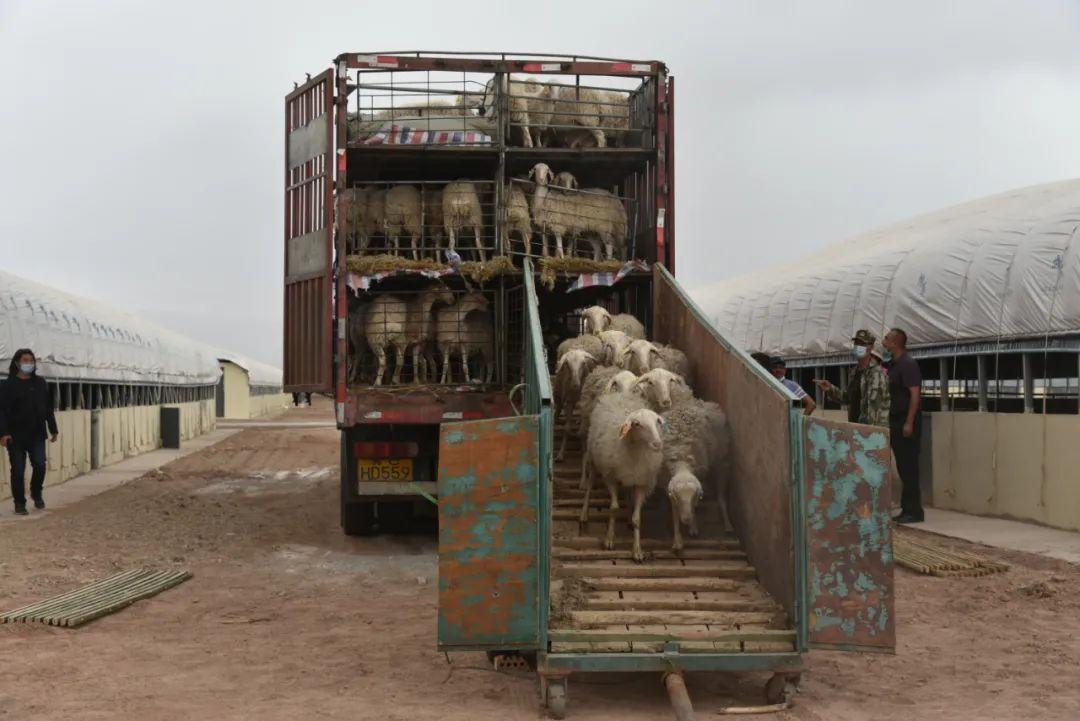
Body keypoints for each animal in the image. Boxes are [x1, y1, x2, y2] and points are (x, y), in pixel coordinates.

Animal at [583, 390, 665, 561]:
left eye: (657, 422)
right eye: (637, 424)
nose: (657, 444)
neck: (636, 452)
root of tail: (621, 394)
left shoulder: (641, 482)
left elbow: (637, 518)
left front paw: (637, 550)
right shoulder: (610, 477)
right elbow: (613, 509)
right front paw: (609, 540)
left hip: (630, 477)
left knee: (628, 494)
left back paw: (627, 517)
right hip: (593, 459)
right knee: (589, 485)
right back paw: (584, 514)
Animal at [656, 399, 734, 552]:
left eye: (694, 496)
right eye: (677, 497)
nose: (686, 519)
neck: (681, 461)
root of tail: (703, 402)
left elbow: (693, 508)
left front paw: (693, 526)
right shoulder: (667, 482)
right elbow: (674, 512)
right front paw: (677, 539)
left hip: (722, 461)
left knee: (721, 496)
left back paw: (727, 524)